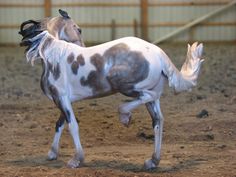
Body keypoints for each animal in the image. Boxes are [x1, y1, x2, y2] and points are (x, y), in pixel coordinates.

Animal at [18, 20, 203, 169]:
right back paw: (153, 161)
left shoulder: (61, 98)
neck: (55, 56)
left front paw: (76, 159)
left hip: (128, 86)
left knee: (146, 97)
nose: (24, 42)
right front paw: (52, 153)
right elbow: (60, 124)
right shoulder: (65, 101)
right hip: (150, 97)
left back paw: (125, 116)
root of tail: (158, 52)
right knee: (158, 120)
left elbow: (72, 126)